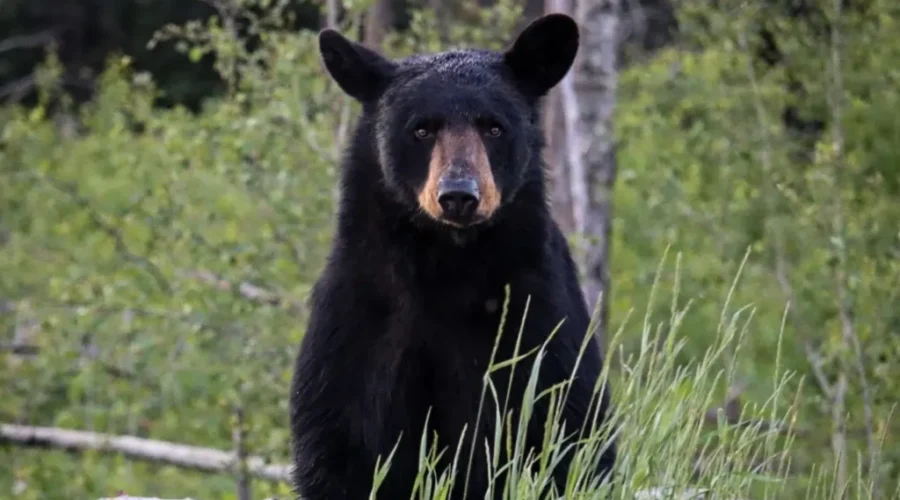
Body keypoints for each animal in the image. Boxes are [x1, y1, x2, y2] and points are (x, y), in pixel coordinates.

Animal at [289, 13, 617, 500]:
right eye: (422, 128)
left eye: (493, 127)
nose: (459, 195)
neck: (446, 266)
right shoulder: (357, 328)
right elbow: (338, 449)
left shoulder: (537, 321)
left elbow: (567, 434)